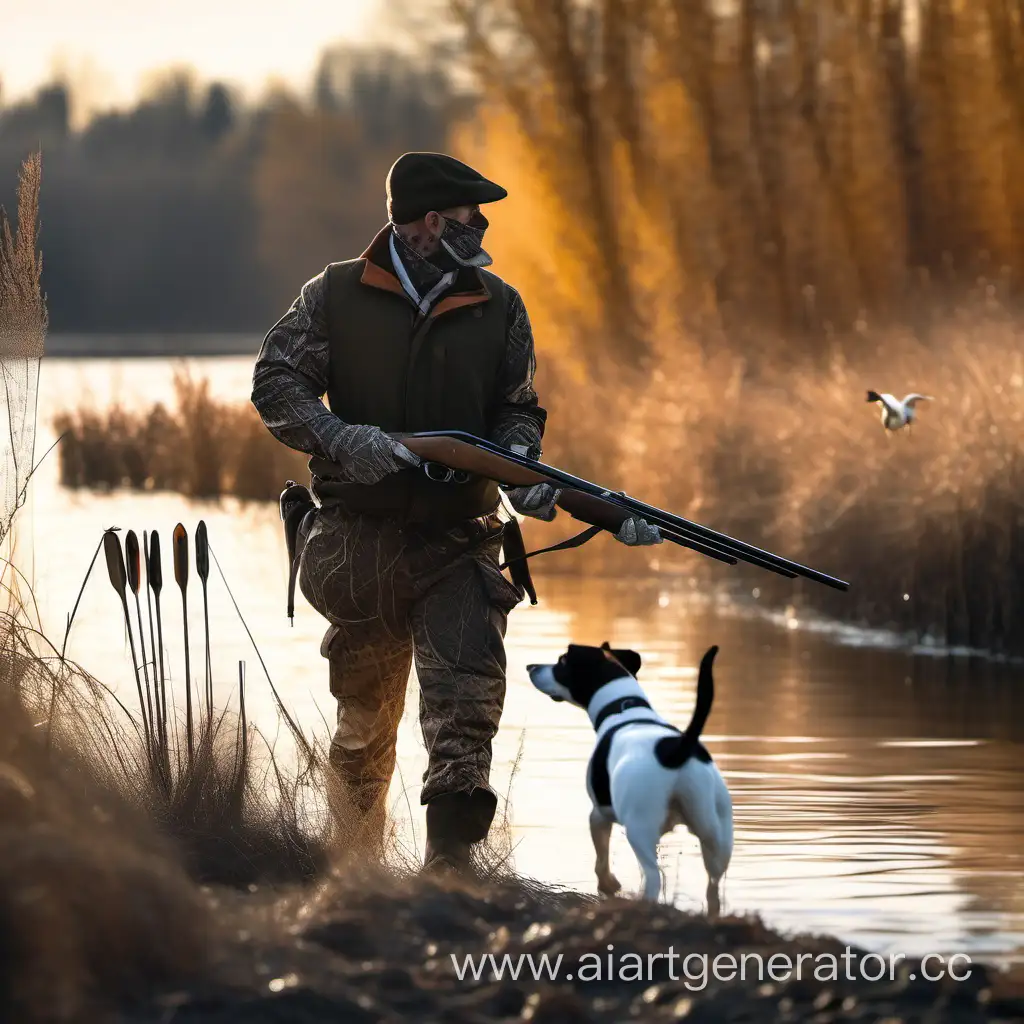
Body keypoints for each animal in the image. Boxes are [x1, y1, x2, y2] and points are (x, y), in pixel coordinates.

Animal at [524, 638, 733, 913]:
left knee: (653, 877)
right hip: (717, 836)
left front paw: (608, 884)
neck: (624, 708)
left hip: (639, 829)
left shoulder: (598, 815)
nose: (530, 666)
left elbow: (601, 860)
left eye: (562, 661)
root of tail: (677, 749)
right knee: (714, 886)